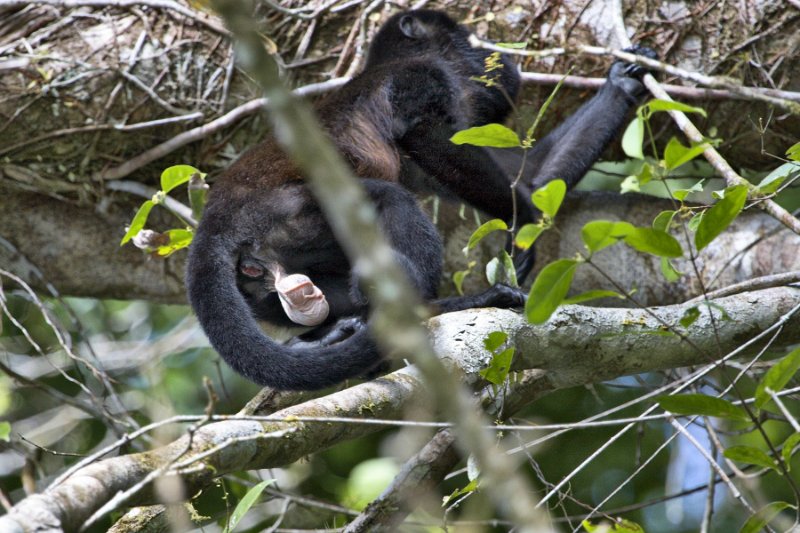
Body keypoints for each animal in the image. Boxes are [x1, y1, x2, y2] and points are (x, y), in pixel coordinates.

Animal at [188, 8, 656, 390]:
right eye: (470, 37)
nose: (503, 57)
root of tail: (215, 218)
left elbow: (532, 175)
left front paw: (622, 81)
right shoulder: (420, 78)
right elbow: (430, 139)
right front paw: (522, 219)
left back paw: (322, 340)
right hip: (292, 216)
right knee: (388, 199)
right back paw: (451, 306)